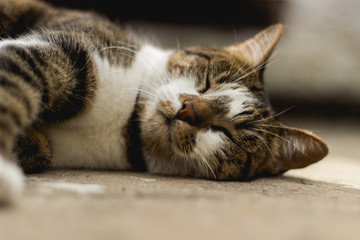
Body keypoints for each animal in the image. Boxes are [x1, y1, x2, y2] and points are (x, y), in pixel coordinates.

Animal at [0, 0, 330, 203]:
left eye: (227, 133)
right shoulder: (68, 50)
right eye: (207, 81)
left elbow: (41, 148)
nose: (189, 110)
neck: (123, 123)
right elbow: (15, 85)